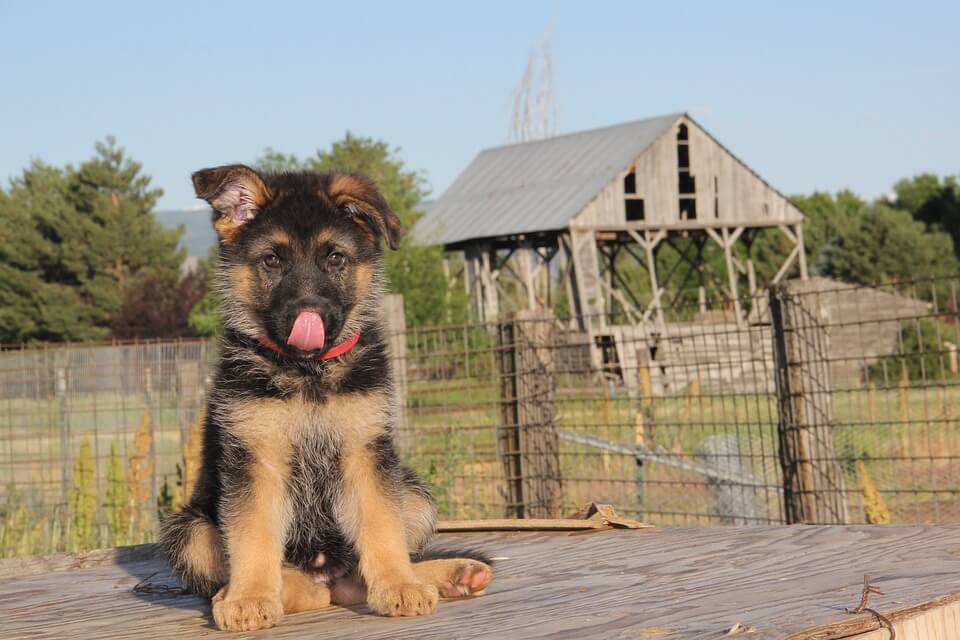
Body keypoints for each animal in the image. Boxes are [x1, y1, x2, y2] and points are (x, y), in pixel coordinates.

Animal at [160, 164, 492, 632]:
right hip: (188, 530)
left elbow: (381, 527)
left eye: (334, 258)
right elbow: (253, 535)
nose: (309, 315)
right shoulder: (257, 458)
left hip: (414, 496)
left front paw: (398, 584)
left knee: (358, 575)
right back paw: (245, 593)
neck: (308, 373)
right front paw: (249, 596)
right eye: (273, 260)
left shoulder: (364, 452)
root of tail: (325, 574)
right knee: (296, 584)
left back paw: (446, 574)